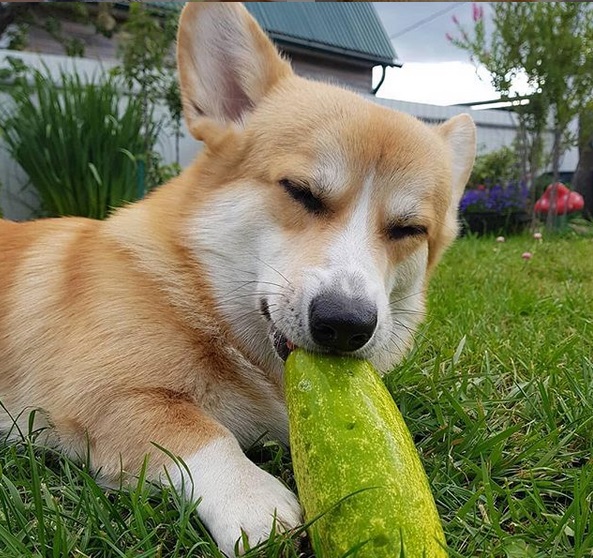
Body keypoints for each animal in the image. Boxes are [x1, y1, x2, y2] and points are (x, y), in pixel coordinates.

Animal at [0, 2, 474, 556]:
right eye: (301, 191)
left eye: (409, 229)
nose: (346, 325)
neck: (198, 298)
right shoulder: (96, 397)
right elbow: (202, 432)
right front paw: (256, 502)